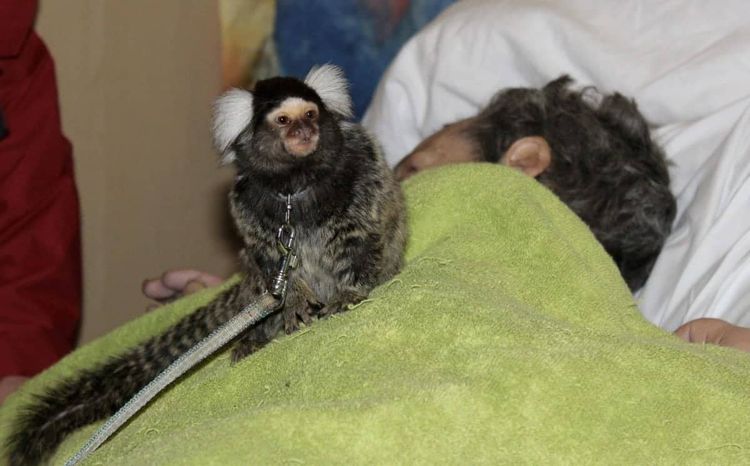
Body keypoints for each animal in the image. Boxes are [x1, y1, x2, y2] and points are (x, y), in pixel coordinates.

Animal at [5, 64, 407, 466]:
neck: (295, 186)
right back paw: (256, 337)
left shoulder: (362, 176)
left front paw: (349, 292)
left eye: (310, 115)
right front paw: (292, 300)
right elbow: (273, 263)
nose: (304, 132)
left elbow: (358, 242)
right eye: (283, 120)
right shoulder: (247, 208)